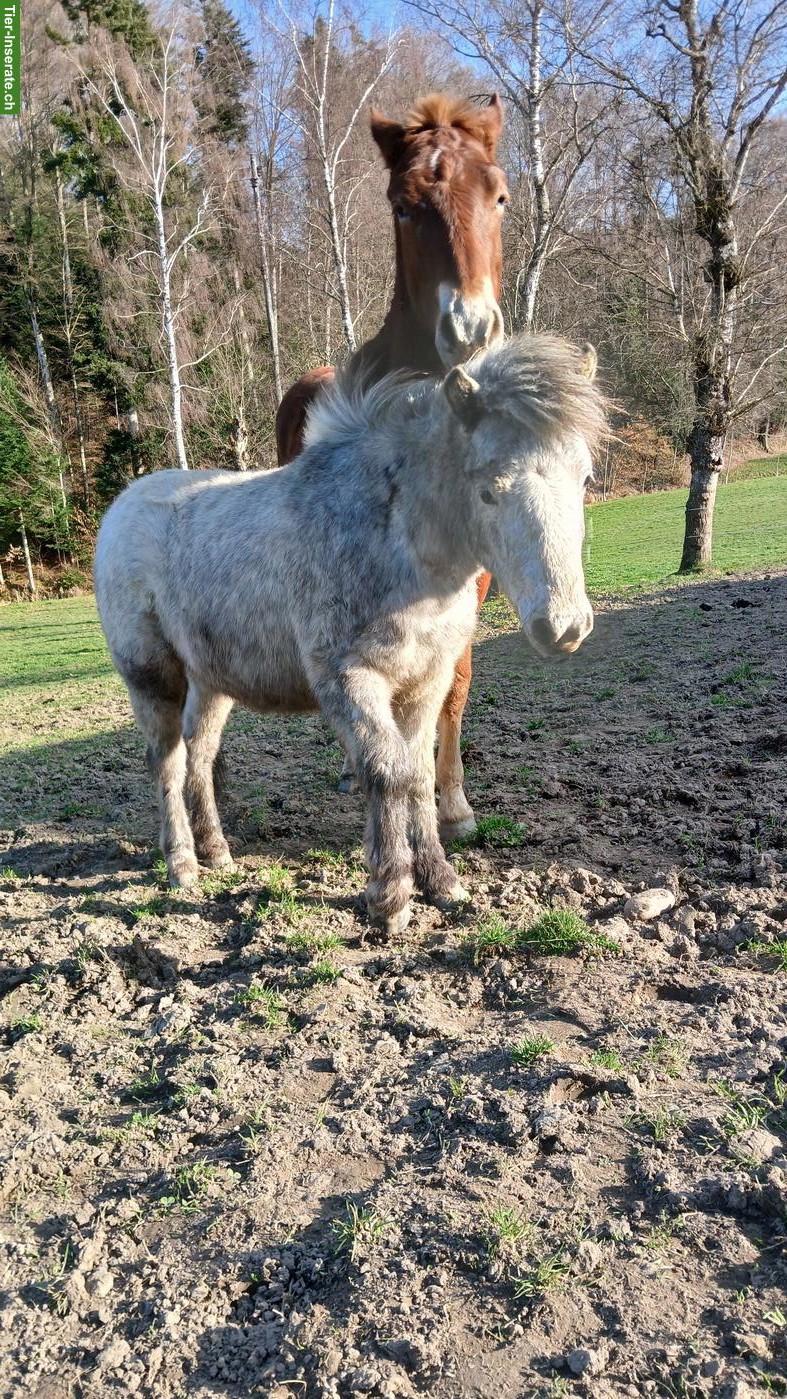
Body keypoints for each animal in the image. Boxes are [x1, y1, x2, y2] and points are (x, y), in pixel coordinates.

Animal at [95, 333, 604, 936]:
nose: (563, 626)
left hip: (213, 681)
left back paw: (217, 851)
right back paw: (182, 866)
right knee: (168, 762)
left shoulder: (425, 681)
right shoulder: (349, 678)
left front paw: (441, 881)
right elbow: (386, 773)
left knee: (200, 756)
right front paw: (390, 896)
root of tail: (120, 507)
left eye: (585, 478)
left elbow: (419, 773)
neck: (398, 544)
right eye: (489, 490)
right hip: (152, 677)